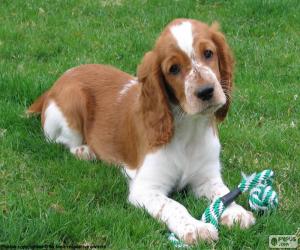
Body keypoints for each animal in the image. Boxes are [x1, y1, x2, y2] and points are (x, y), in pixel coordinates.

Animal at [28, 19, 254, 244]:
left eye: (208, 53)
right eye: (173, 69)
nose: (206, 91)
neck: (189, 130)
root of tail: (57, 83)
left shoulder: (207, 177)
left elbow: (223, 193)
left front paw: (236, 212)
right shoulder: (146, 188)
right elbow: (173, 205)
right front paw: (195, 228)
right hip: (72, 103)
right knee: (60, 141)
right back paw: (84, 151)